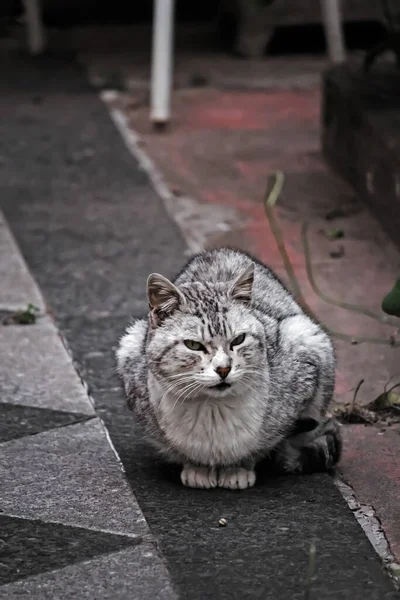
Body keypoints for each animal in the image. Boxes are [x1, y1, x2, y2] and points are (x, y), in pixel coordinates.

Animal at [115, 247, 340, 488]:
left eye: (238, 340)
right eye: (193, 345)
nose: (223, 369)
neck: (213, 409)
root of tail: (220, 251)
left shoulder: (303, 355)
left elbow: (264, 443)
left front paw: (238, 468)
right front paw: (197, 468)